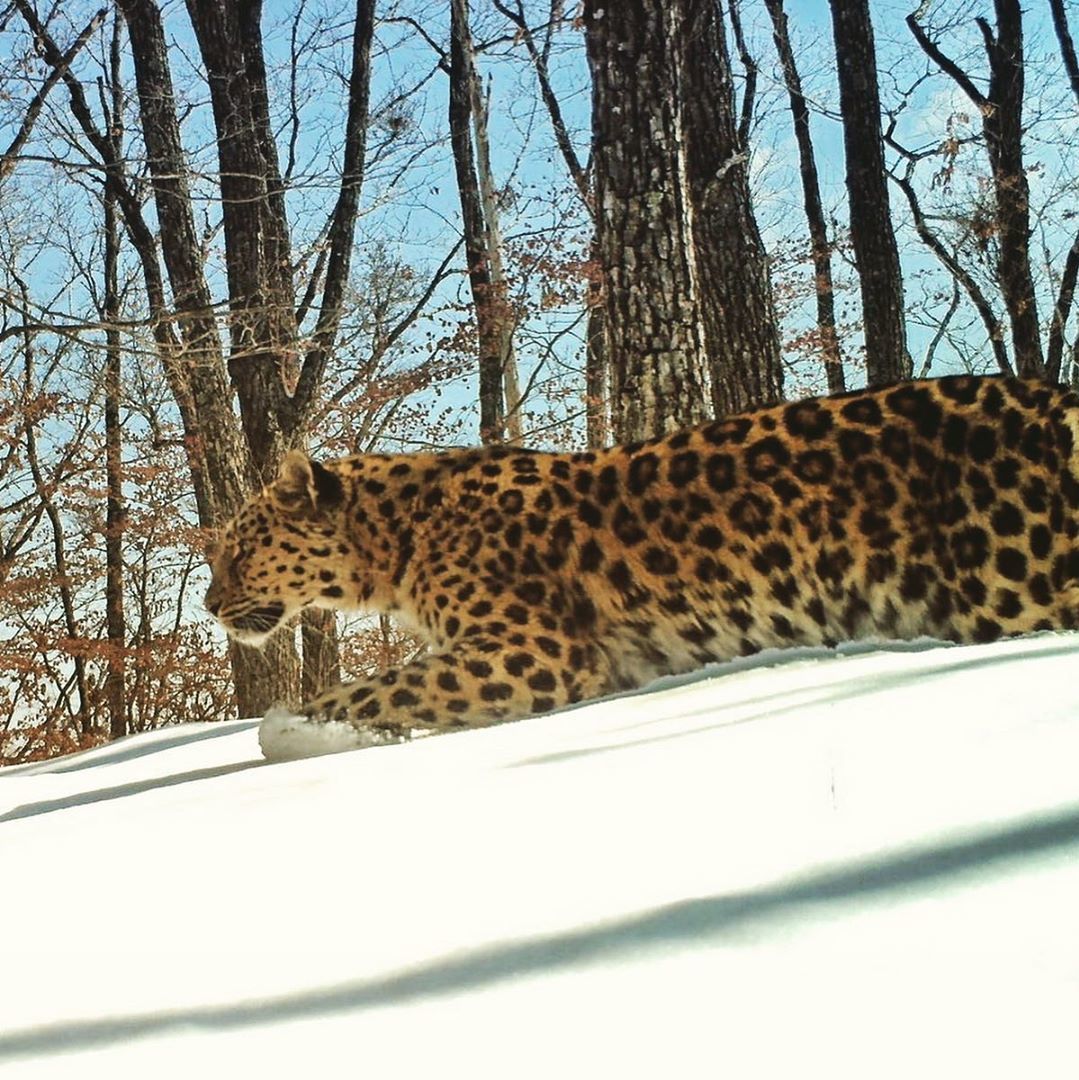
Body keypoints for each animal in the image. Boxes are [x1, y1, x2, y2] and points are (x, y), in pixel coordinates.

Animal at [204, 375, 1079, 764]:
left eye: (240, 547)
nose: (209, 605)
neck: (398, 537)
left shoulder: (533, 651)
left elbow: (369, 687)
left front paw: (293, 733)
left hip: (1013, 590)